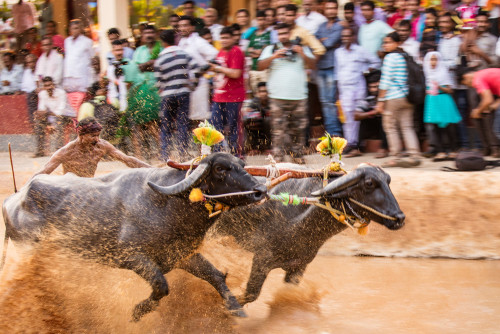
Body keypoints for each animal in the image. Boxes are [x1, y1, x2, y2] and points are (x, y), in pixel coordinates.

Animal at [1, 153, 268, 320]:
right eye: (221, 169)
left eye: (242, 164)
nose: (261, 190)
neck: (169, 203)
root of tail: (13, 198)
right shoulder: (131, 257)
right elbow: (161, 286)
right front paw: (137, 312)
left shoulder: (182, 256)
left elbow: (216, 276)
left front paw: (236, 309)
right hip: (28, 253)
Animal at [213, 163, 404, 306]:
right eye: (369, 183)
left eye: (388, 181)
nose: (400, 218)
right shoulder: (262, 258)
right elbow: (251, 293)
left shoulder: (299, 267)